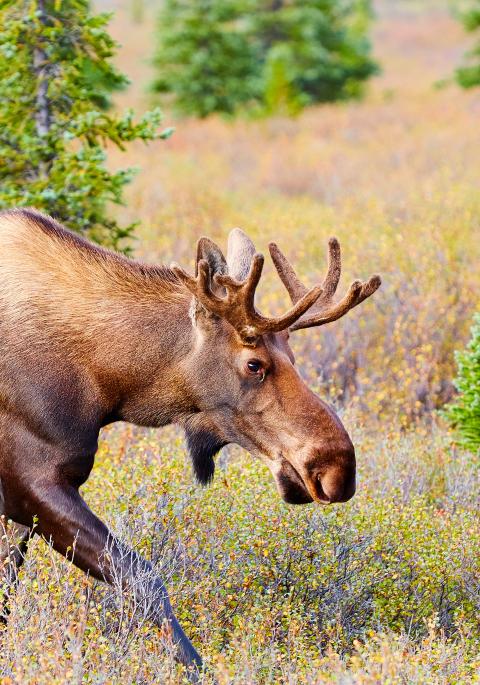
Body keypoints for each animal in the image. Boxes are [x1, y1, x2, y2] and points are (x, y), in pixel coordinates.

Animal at [0, 208, 380, 679]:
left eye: (293, 357)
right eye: (254, 364)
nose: (337, 467)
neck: (108, 380)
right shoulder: (32, 481)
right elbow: (144, 579)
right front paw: (197, 668)